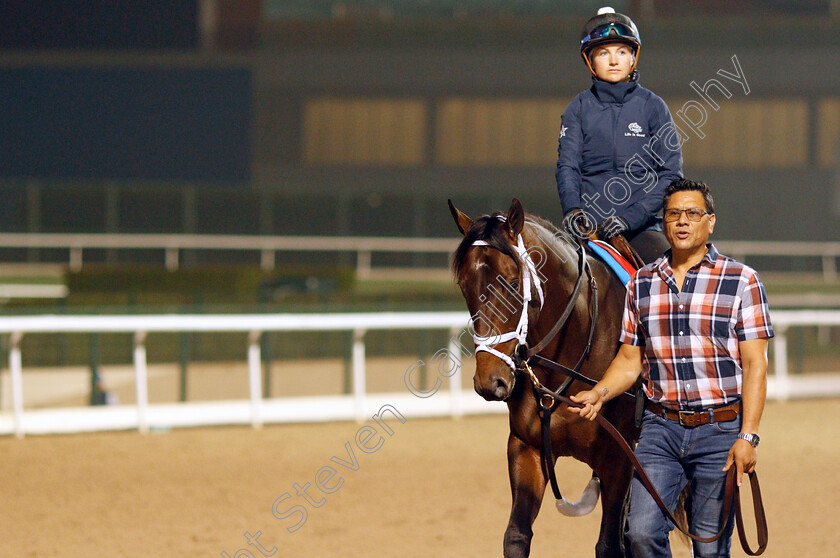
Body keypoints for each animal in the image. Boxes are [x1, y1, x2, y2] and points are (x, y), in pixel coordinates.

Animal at [450, 199, 640, 556]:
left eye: (512, 283)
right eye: (465, 286)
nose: (490, 382)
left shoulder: (620, 459)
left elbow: (610, 544)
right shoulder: (527, 448)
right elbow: (516, 536)